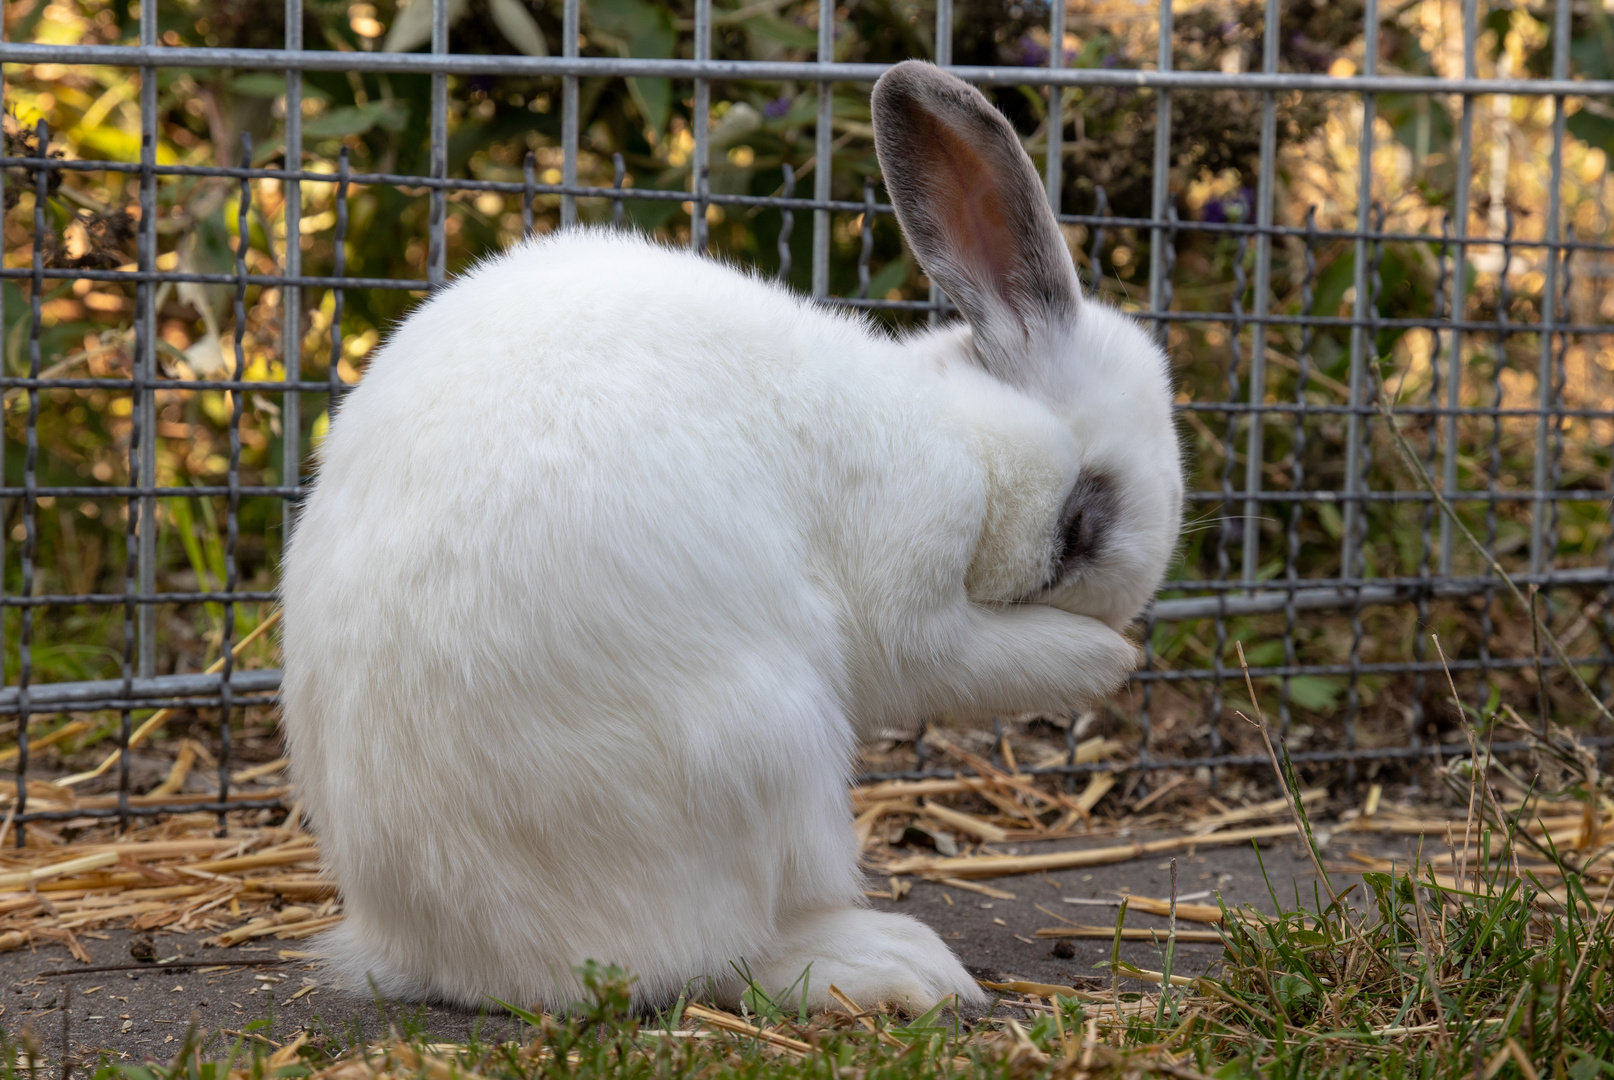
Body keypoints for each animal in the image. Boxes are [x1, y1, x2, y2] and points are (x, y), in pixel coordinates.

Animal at [280, 63, 1187, 1013]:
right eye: (1080, 527)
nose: (1114, 626)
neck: (966, 430)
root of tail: (433, 951)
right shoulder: (916, 581)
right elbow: (962, 657)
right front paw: (1106, 661)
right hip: (767, 744)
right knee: (719, 958)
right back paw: (902, 966)